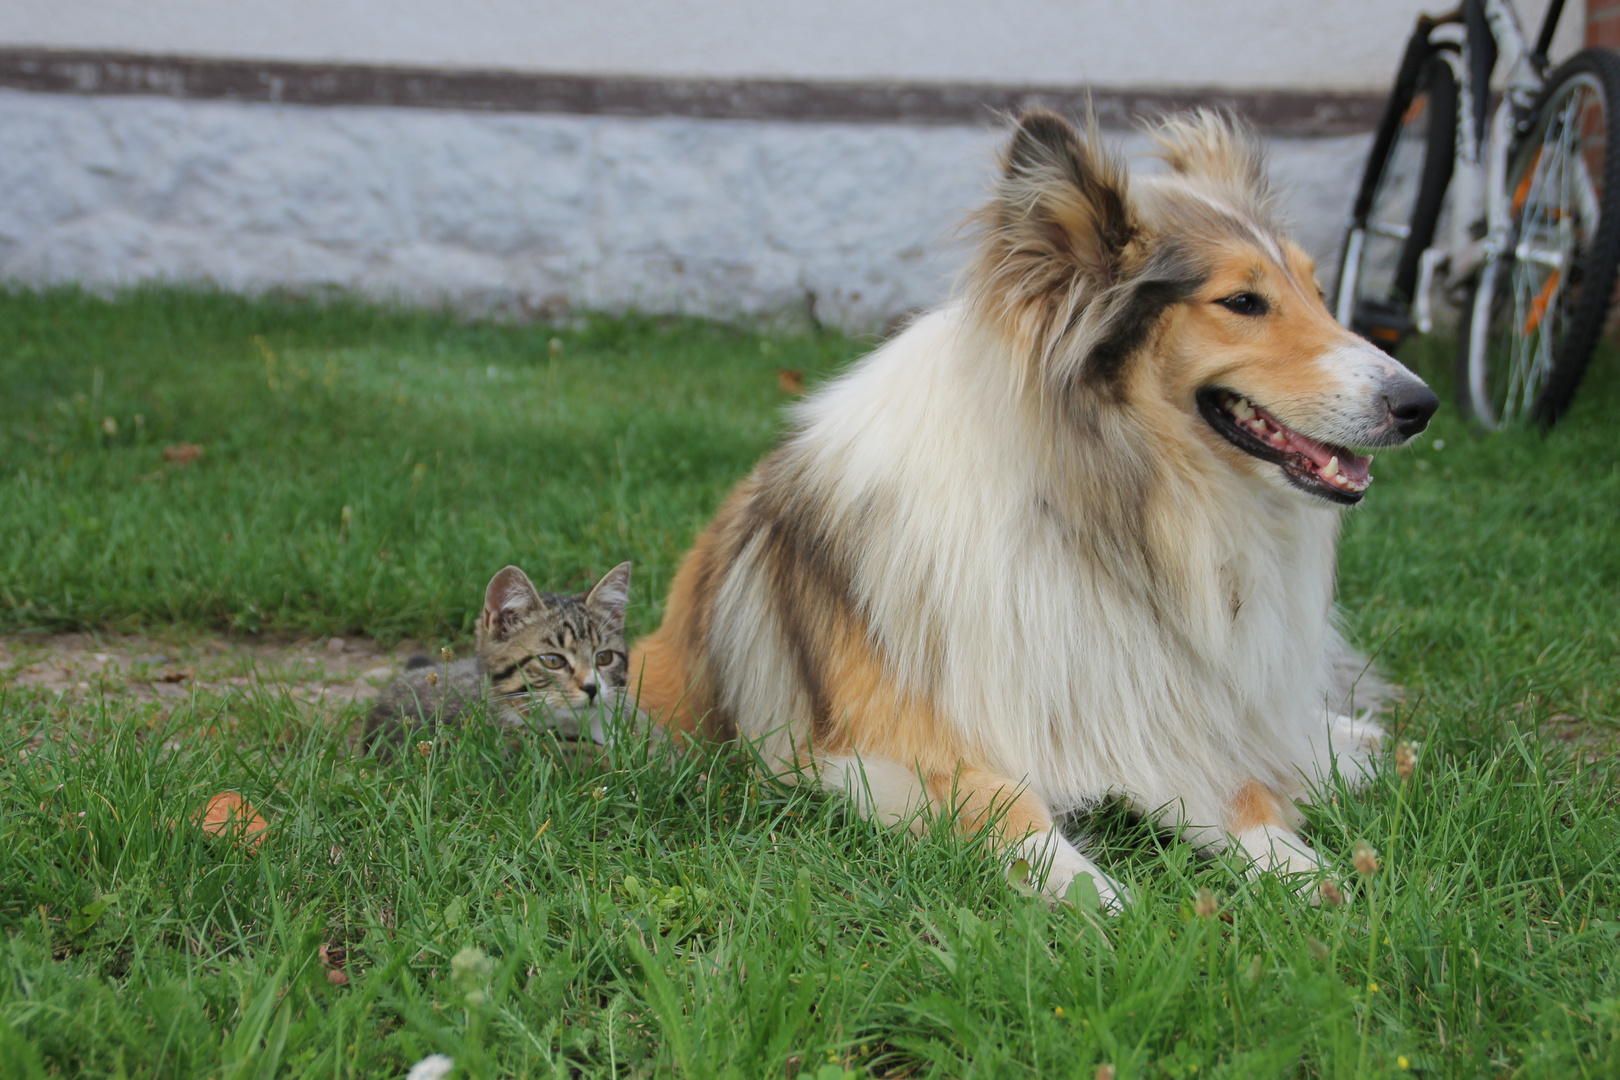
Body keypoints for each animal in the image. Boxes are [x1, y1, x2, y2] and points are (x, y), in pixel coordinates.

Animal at [625, 110, 1438, 906]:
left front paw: (1304, 870)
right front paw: (1092, 895)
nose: (1420, 405)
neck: (1104, 512)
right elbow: (1008, 804)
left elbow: (1241, 792)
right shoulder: (873, 748)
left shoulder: (1159, 713)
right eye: (1242, 301)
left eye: (1319, 291)